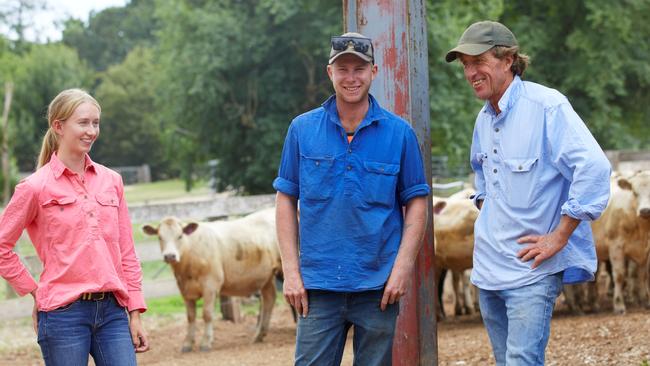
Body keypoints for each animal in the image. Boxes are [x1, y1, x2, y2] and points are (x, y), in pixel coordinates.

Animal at [143, 207, 280, 350]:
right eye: (160, 237)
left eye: (180, 236)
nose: (170, 256)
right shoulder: (185, 289)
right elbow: (190, 317)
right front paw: (187, 343)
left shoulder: (210, 285)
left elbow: (207, 314)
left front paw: (206, 342)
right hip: (267, 276)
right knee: (269, 299)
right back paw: (259, 335)